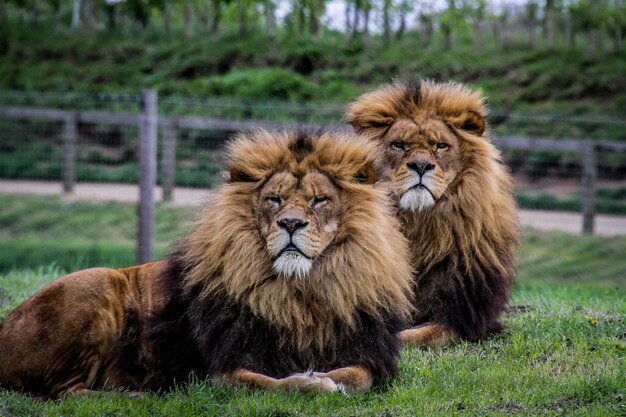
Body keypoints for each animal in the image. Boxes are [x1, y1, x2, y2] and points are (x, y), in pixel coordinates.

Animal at [0, 128, 414, 398]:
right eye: (275, 200)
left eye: (319, 200)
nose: (291, 224)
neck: (299, 293)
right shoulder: (222, 370)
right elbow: (274, 384)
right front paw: (312, 382)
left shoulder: (363, 352)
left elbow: (358, 376)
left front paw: (332, 379)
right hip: (96, 284)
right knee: (67, 392)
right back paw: (138, 396)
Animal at [344, 79, 520, 348]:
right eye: (399, 145)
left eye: (440, 146)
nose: (421, 166)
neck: (420, 225)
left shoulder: (460, 318)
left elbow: (412, 335)